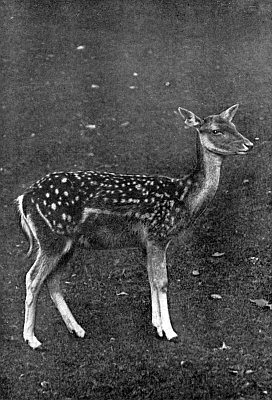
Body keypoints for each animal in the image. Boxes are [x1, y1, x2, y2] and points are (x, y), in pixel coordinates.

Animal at [15, 104, 252, 348]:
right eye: (216, 131)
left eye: (233, 125)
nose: (249, 144)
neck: (183, 198)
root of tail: (23, 199)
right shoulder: (158, 235)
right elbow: (162, 281)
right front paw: (170, 331)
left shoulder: (146, 242)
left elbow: (151, 278)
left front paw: (157, 326)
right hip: (52, 238)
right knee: (33, 278)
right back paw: (32, 339)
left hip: (67, 244)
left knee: (52, 280)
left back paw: (77, 329)